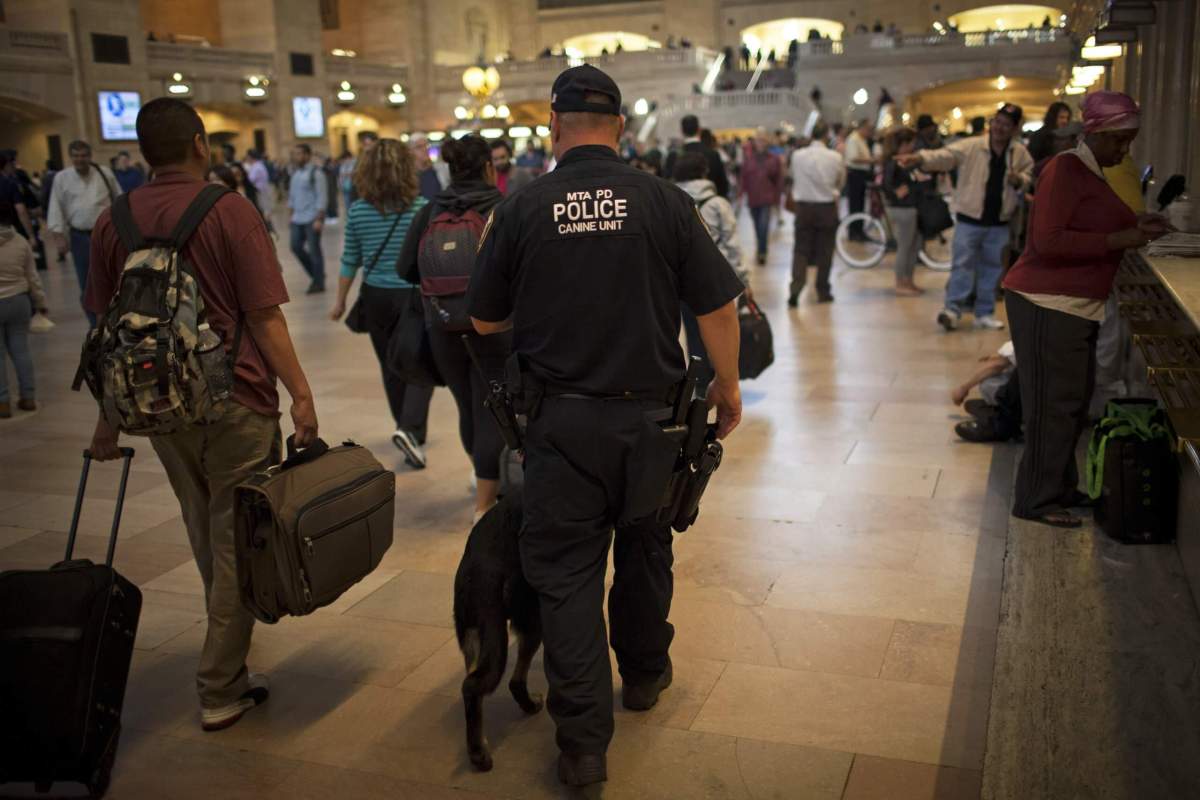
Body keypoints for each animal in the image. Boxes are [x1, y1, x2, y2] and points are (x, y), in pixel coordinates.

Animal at [451, 489, 542, 767]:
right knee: (509, 681)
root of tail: (480, 573)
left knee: (472, 688)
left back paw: (476, 747)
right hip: (529, 619)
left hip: (474, 636)